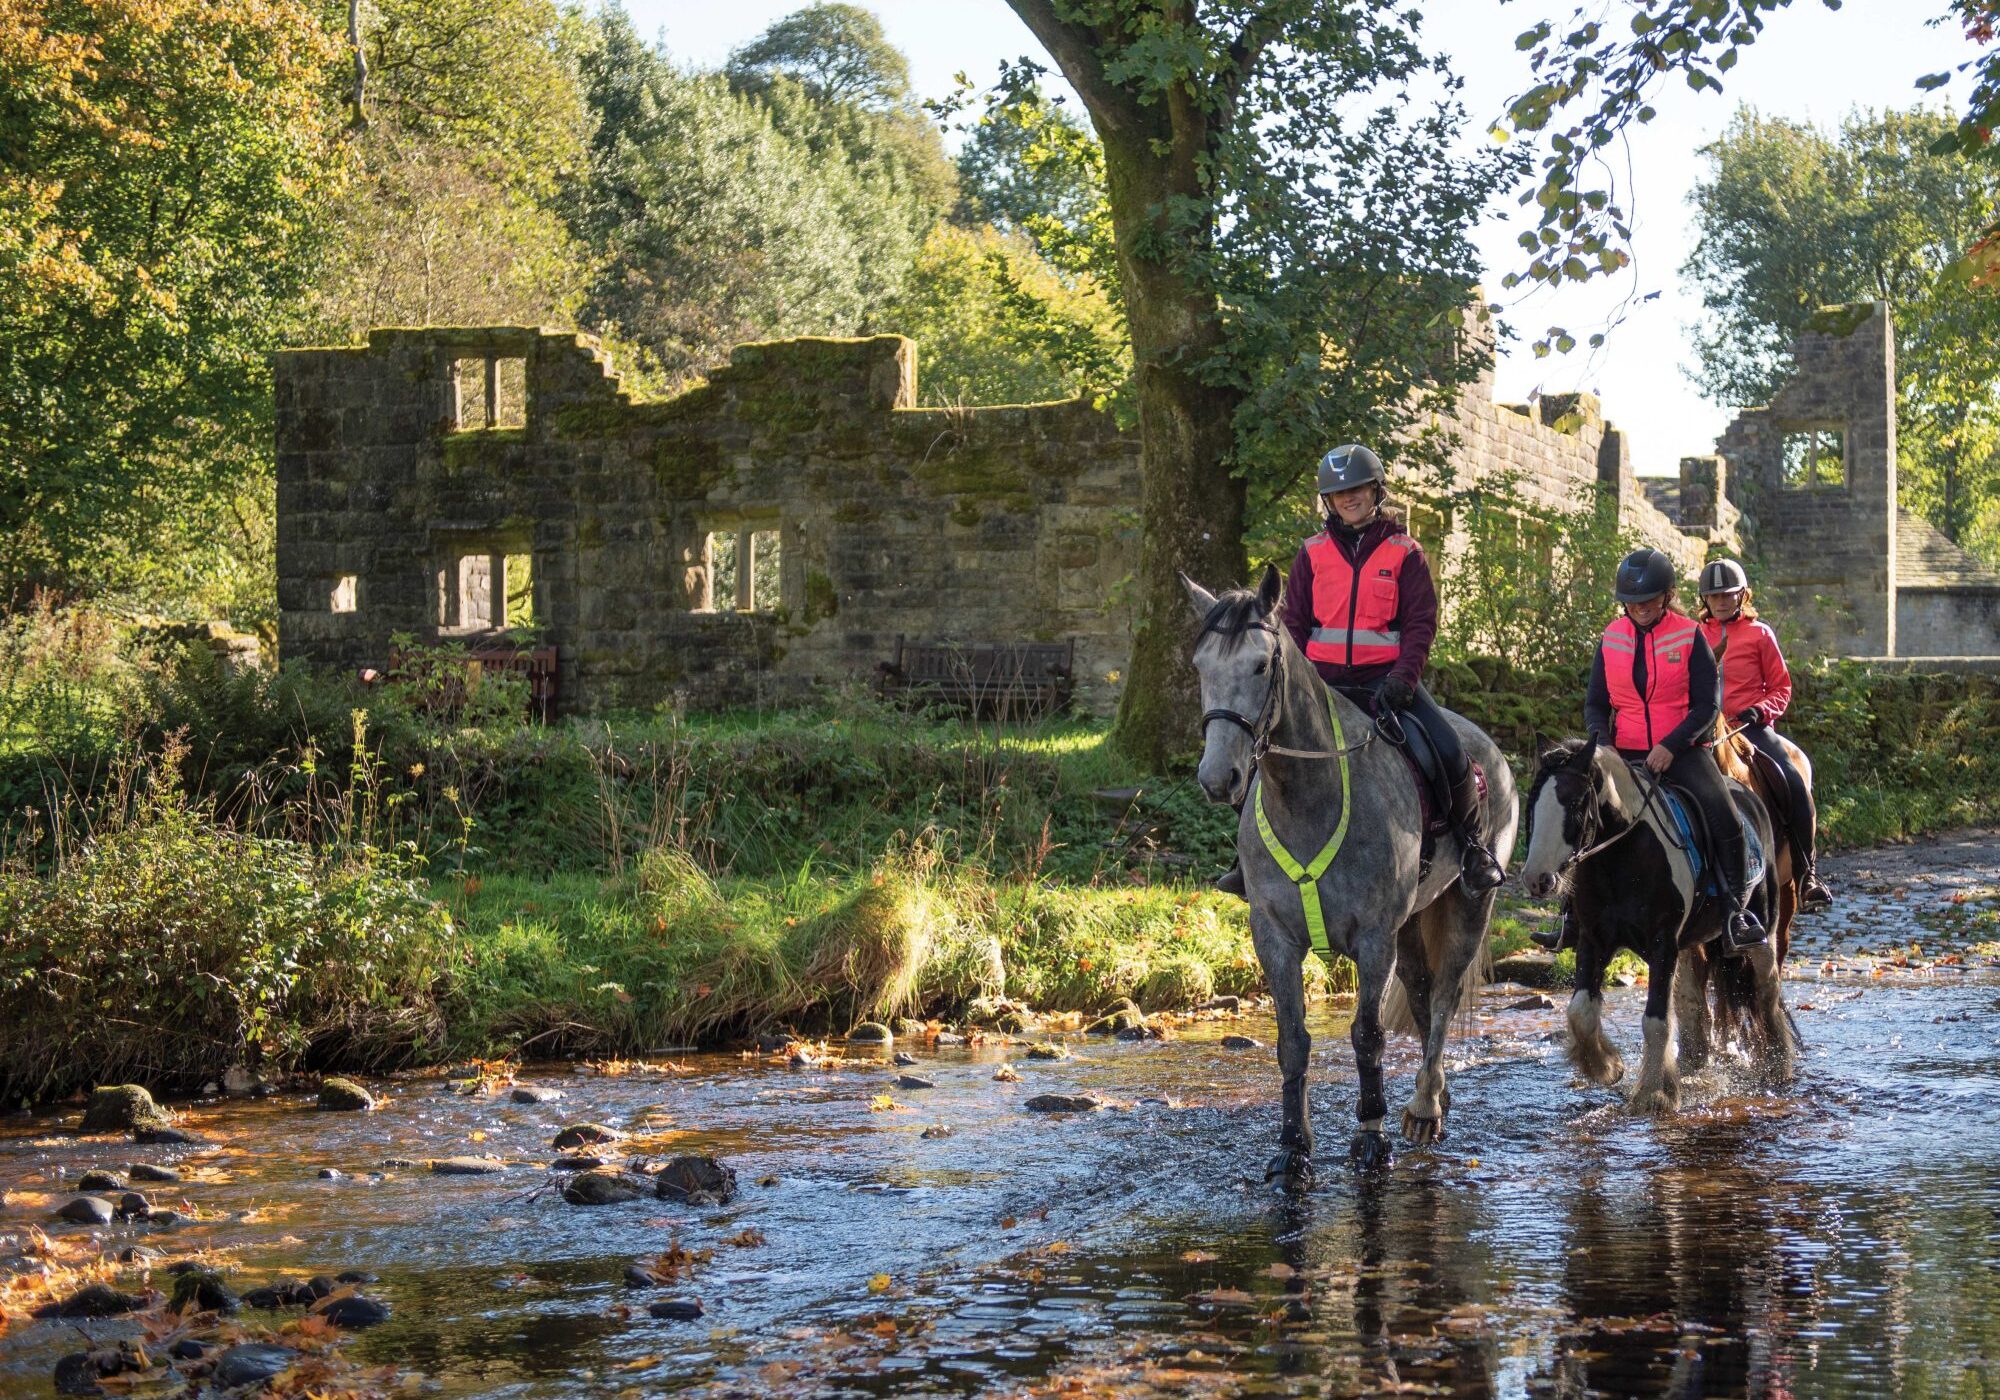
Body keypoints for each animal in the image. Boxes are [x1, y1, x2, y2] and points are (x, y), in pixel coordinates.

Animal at [1184, 564, 1512, 1184]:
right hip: (1414, 925)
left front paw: (1370, 1138)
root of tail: (1495, 755)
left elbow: (1367, 1036)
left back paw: (1424, 1109)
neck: (1308, 800)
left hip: (1466, 907)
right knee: (1424, 993)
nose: (1218, 779)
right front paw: (1293, 1149)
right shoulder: (1275, 937)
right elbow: (1292, 1040)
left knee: (1444, 998)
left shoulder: (1374, 938)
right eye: (1200, 667)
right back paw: (1435, 1096)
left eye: (1260, 665)